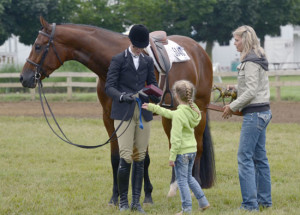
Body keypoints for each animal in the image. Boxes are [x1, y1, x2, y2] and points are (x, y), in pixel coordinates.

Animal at [19, 16, 216, 205]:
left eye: (38, 46)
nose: (24, 77)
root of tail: (199, 50)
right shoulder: (109, 117)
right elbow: (117, 158)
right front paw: (117, 197)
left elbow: (143, 158)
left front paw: (146, 196)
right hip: (171, 115)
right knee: (174, 147)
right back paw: (175, 187)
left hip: (200, 110)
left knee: (198, 147)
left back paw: (194, 186)